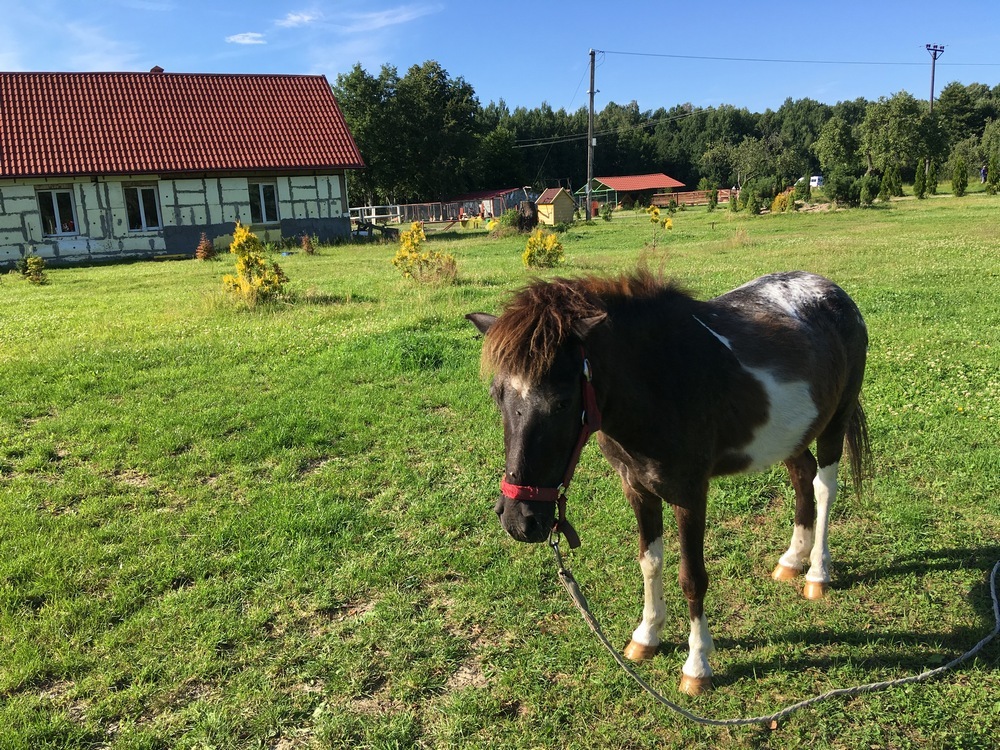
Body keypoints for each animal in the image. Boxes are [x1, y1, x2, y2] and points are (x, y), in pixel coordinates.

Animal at [468, 268, 868, 692]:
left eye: (562, 402)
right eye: (497, 395)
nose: (520, 520)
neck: (660, 383)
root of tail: (831, 291)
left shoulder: (689, 496)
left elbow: (692, 578)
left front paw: (697, 665)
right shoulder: (638, 489)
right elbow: (650, 562)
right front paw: (646, 636)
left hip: (835, 422)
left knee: (824, 488)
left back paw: (817, 573)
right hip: (793, 436)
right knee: (802, 476)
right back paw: (792, 560)